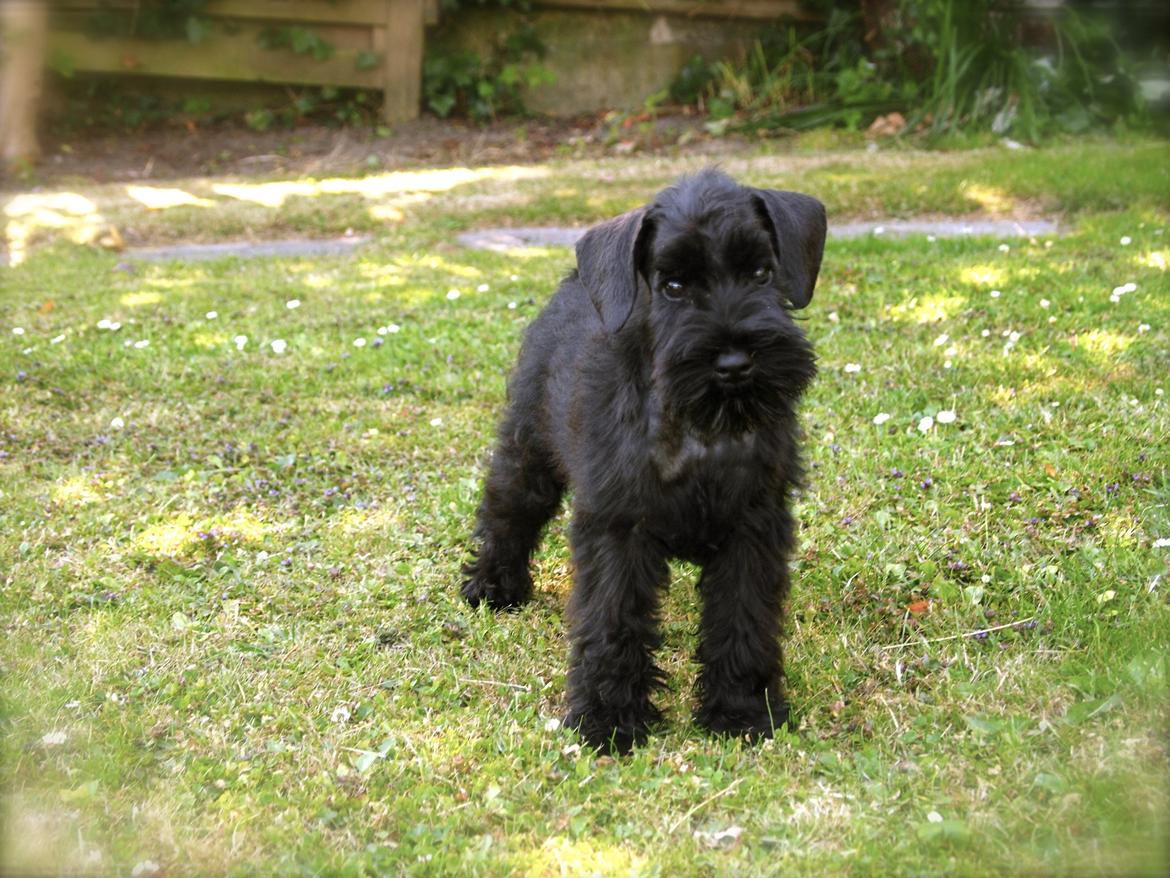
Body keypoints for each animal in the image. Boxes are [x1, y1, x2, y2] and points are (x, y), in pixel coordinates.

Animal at [460, 168, 828, 753]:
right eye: (672, 285)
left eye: (761, 272)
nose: (734, 362)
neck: (699, 428)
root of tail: (575, 281)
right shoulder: (619, 528)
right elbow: (614, 620)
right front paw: (607, 718)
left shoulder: (753, 528)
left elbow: (742, 618)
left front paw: (741, 710)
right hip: (528, 455)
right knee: (507, 513)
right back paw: (493, 586)